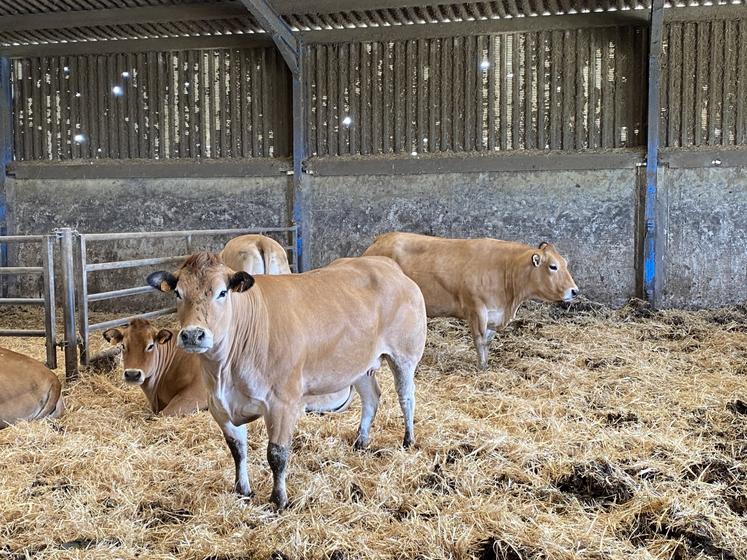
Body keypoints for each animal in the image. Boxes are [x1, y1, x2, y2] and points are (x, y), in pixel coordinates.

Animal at [147, 252, 427, 510]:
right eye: (178, 293)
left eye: (222, 292)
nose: (193, 335)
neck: (224, 372)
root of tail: (385, 265)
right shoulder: (219, 407)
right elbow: (237, 449)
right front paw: (242, 490)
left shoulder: (283, 403)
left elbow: (277, 454)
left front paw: (279, 499)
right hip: (359, 366)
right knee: (371, 398)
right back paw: (361, 441)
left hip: (404, 356)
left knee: (406, 397)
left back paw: (408, 440)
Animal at [364, 232, 579, 370]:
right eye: (553, 266)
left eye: (566, 264)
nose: (575, 291)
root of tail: (380, 239)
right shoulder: (476, 309)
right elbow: (480, 340)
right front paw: (481, 367)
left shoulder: (494, 313)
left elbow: (488, 341)